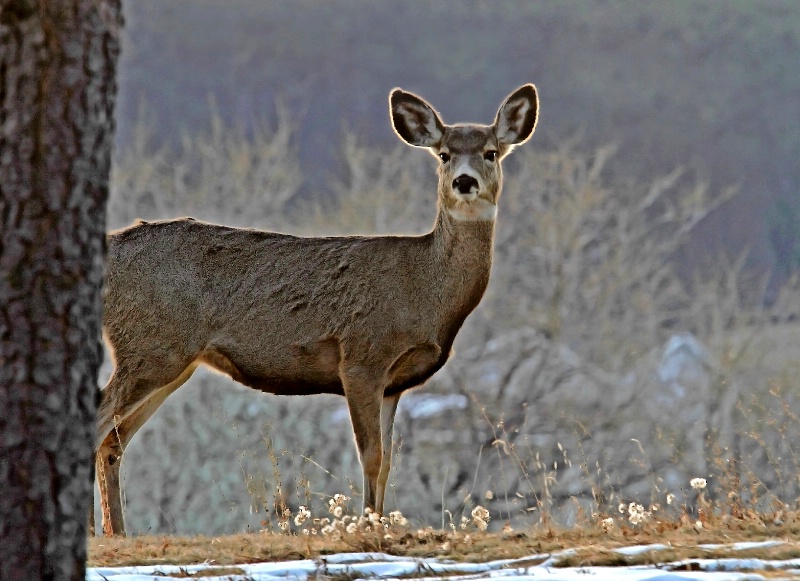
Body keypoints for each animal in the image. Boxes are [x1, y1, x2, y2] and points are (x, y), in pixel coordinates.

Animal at [97, 82, 540, 536]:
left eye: (490, 152)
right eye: (445, 154)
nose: (464, 181)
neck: (425, 290)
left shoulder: (394, 384)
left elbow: (388, 463)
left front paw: (379, 523)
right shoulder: (362, 357)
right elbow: (371, 456)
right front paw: (366, 526)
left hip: (171, 360)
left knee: (113, 441)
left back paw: (118, 534)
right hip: (151, 346)